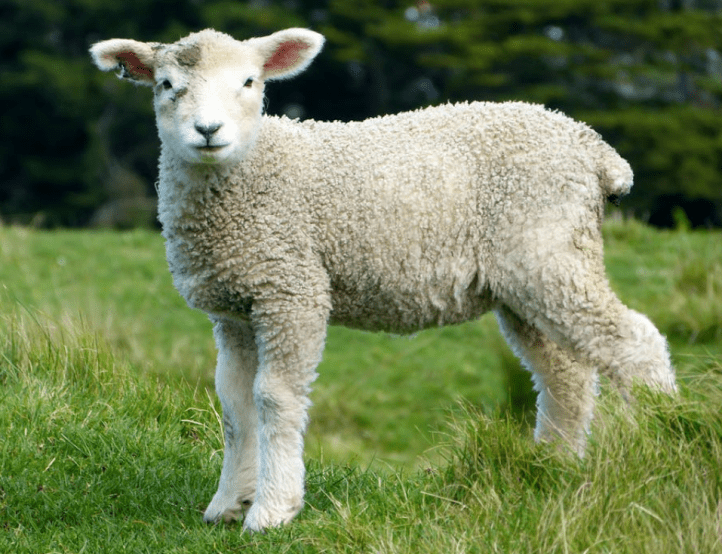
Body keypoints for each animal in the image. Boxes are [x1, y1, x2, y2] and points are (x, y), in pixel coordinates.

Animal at [90, 27, 677, 533]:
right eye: (167, 86)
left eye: (250, 82)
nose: (208, 131)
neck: (254, 172)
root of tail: (594, 148)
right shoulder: (236, 305)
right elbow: (235, 405)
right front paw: (228, 504)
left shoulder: (292, 288)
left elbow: (274, 397)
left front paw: (273, 509)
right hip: (526, 278)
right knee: (564, 375)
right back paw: (551, 470)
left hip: (549, 252)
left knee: (635, 342)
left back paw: (665, 446)